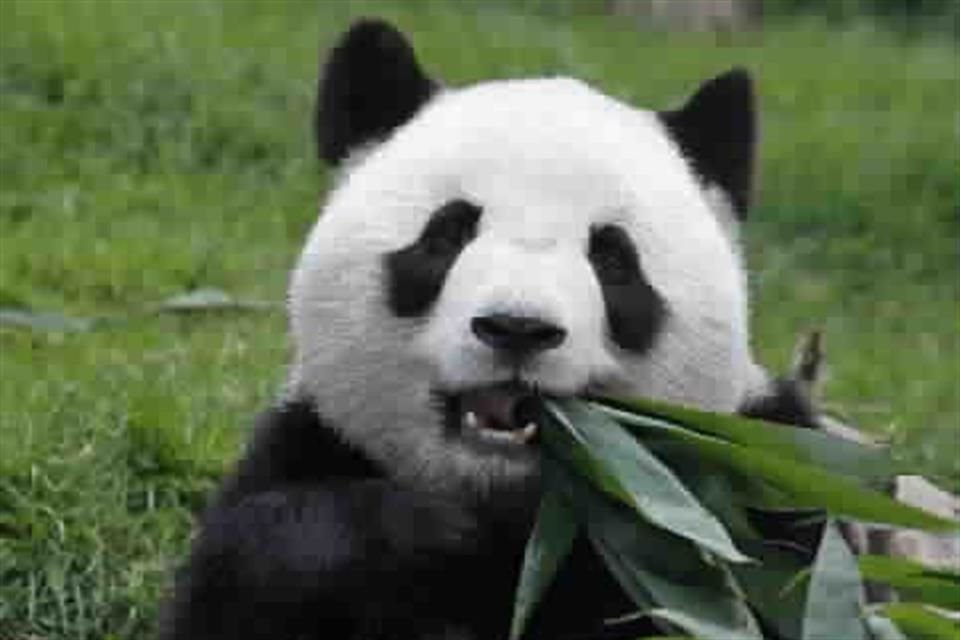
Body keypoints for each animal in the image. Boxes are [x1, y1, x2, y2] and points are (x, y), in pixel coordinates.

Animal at [159, 18, 817, 640]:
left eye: (612, 259)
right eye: (448, 234)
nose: (517, 327)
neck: (512, 509)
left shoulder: (762, 484)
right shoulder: (309, 442)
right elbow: (253, 565)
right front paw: (426, 529)